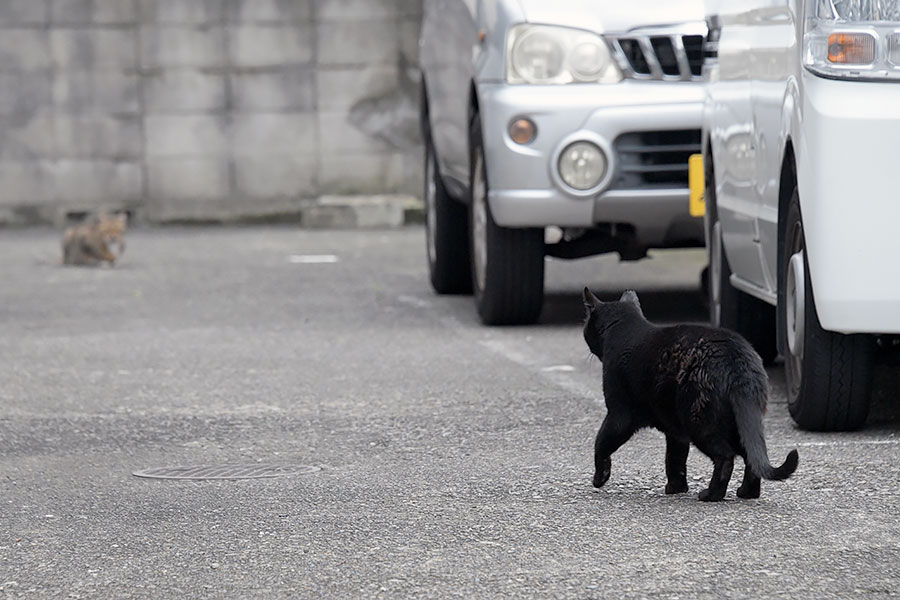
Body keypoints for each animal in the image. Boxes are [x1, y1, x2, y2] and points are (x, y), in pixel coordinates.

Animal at [588, 288, 800, 502]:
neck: (624, 330)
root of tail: (738, 358)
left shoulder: (619, 415)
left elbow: (602, 443)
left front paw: (599, 478)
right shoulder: (674, 430)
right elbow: (675, 458)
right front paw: (676, 488)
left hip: (699, 421)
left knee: (726, 457)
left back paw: (711, 494)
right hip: (736, 423)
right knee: (750, 456)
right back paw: (747, 493)